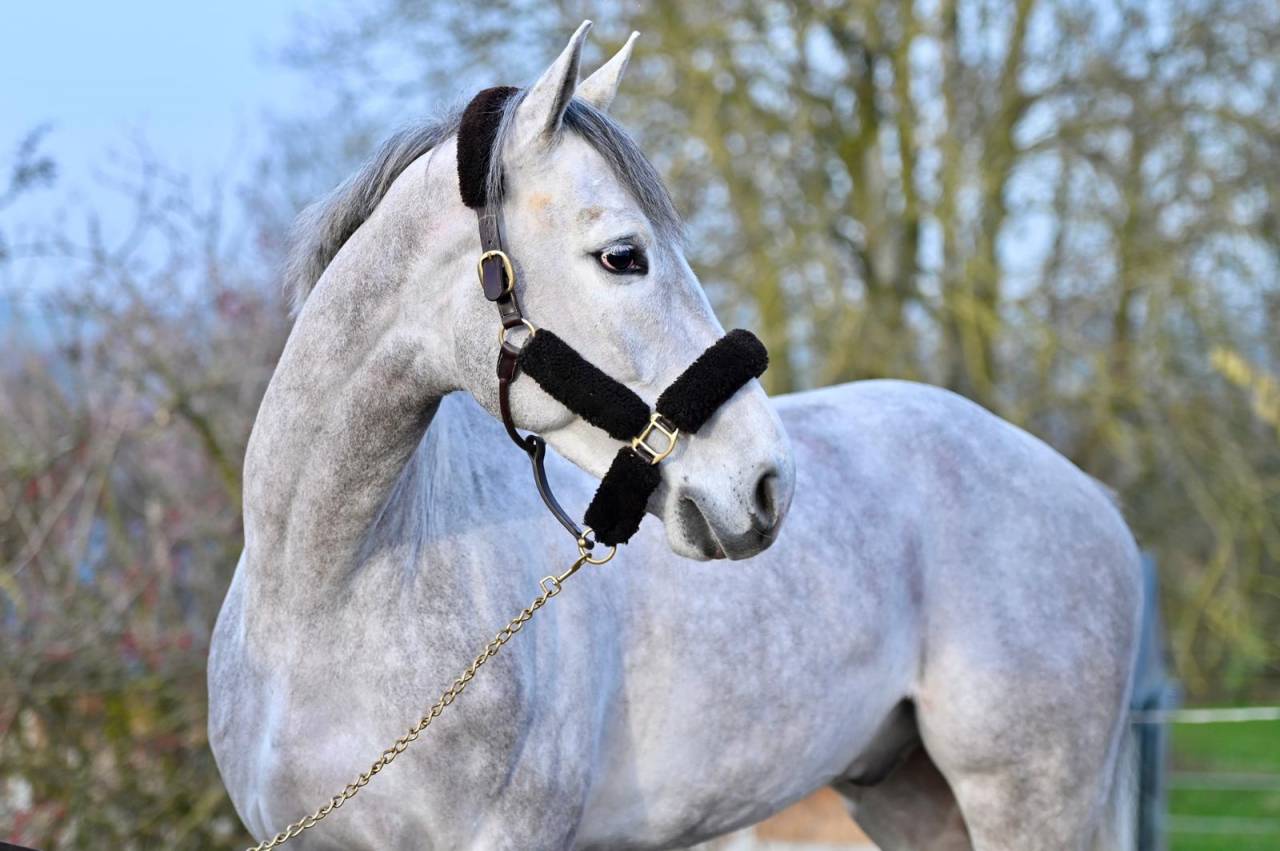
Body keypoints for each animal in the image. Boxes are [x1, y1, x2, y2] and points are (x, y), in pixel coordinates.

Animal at [209, 21, 1142, 851]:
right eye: (623, 254)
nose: (767, 482)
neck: (327, 597)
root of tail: (1092, 498)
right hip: (916, 799)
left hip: (1029, 797)